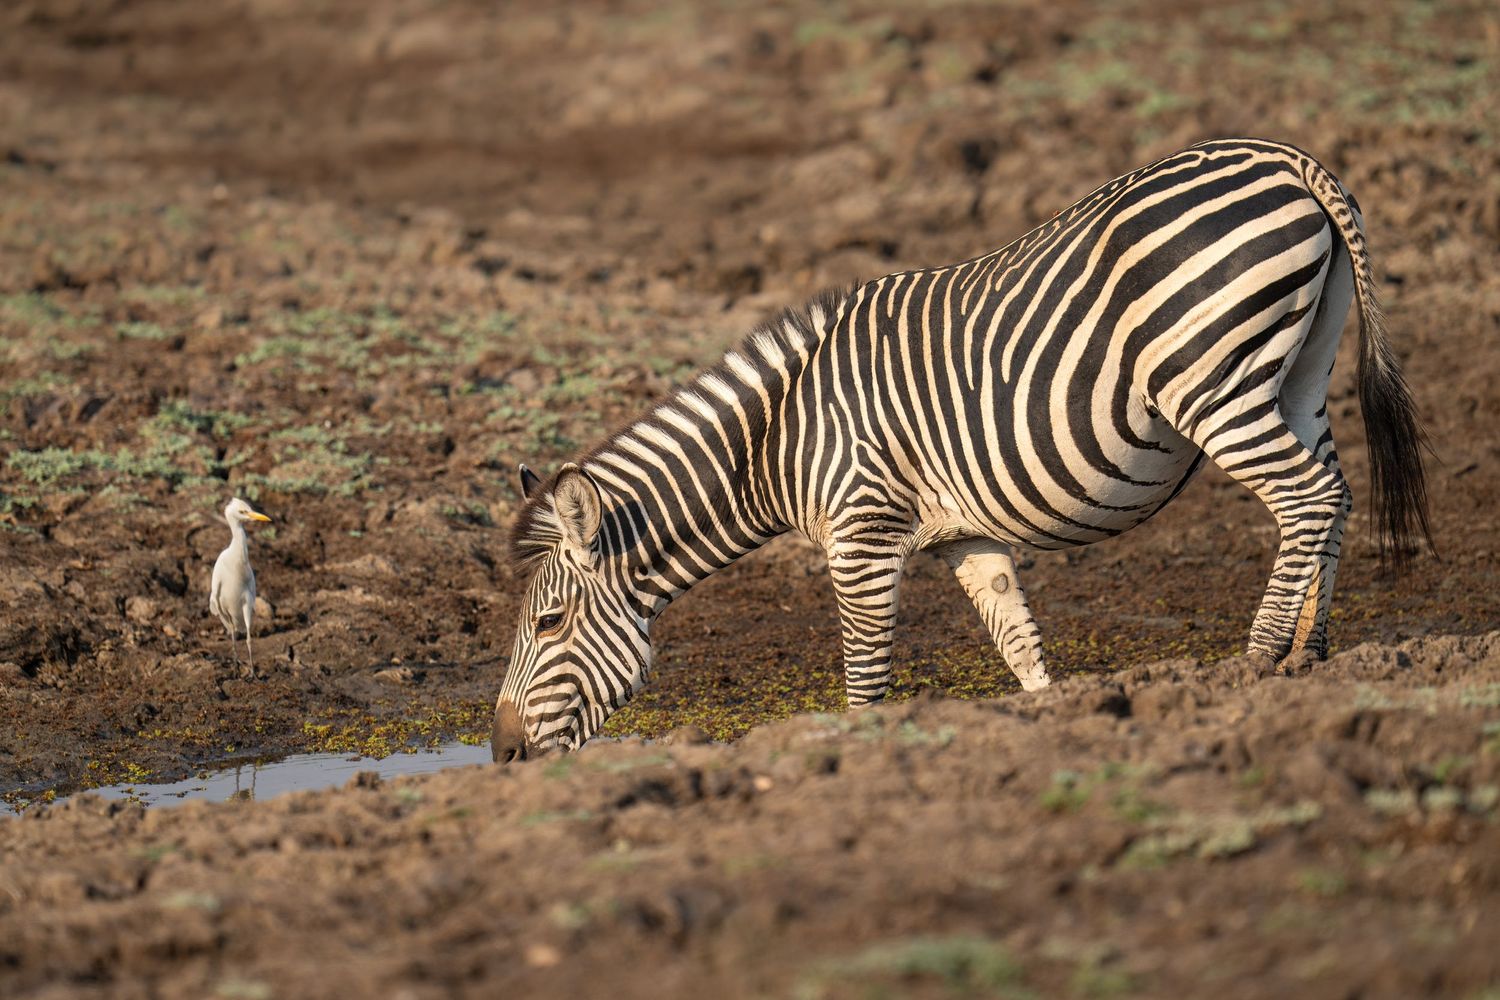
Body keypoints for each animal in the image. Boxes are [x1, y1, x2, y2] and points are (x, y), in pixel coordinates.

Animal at [491, 137, 1431, 762]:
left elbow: (865, 678)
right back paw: (1310, 657)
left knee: (1306, 497)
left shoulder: (862, 533)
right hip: (1297, 372)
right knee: (1334, 493)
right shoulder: (965, 537)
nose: (500, 755)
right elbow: (1020, 649)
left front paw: (857, 755)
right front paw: (1056, 723)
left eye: (547, 622)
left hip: (1215, 383)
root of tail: (1285, 159)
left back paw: (1256, 660)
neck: (778, 440)